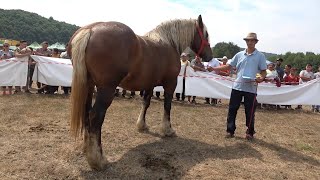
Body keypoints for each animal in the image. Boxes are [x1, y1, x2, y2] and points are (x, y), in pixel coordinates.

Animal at [69, 14, 212, 169]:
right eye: (206, 34)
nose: (210, 57)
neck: (169, 43)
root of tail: (90, 30)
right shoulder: (170, 83)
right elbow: (167, 106)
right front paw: (167, 130)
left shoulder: (149, 84)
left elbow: (146, 103)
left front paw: (142, 125)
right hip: (107, 89)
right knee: (96, 116)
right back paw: (98, 160)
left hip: (88, 86)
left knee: (86, 112)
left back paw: (87, 148)